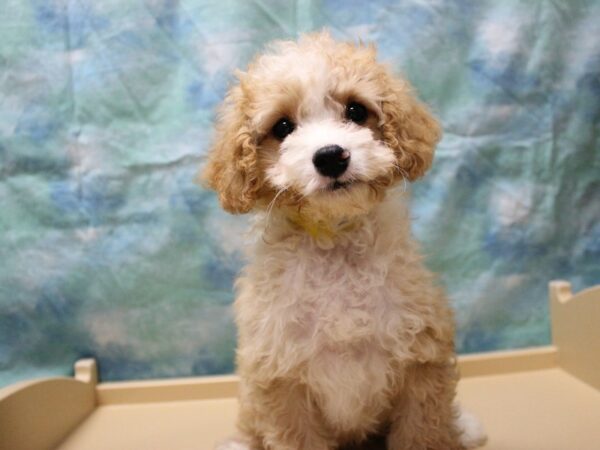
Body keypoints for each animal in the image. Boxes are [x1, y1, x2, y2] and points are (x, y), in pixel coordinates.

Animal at [203, 32, 488, 450]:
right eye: (283, 127)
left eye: (355, 111)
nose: (330, 156)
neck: (335, 241)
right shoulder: (279, 378)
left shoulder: (421, 359)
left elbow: (424, 433)